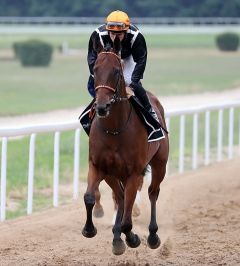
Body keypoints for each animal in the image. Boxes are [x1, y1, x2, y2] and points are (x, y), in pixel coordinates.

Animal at [81, 37, 168, 256]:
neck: (115, 129)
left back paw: (152, 236)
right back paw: (116, 237)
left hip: (160, 163)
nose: (101, 107)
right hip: (113, 174)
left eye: (117, 72)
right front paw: (90, 229)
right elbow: (89, 197)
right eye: (95, 69)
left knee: (152, 192)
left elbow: (129, 218)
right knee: (119, 197)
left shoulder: (134, 172)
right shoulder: (98, 166)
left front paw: (133, 238)